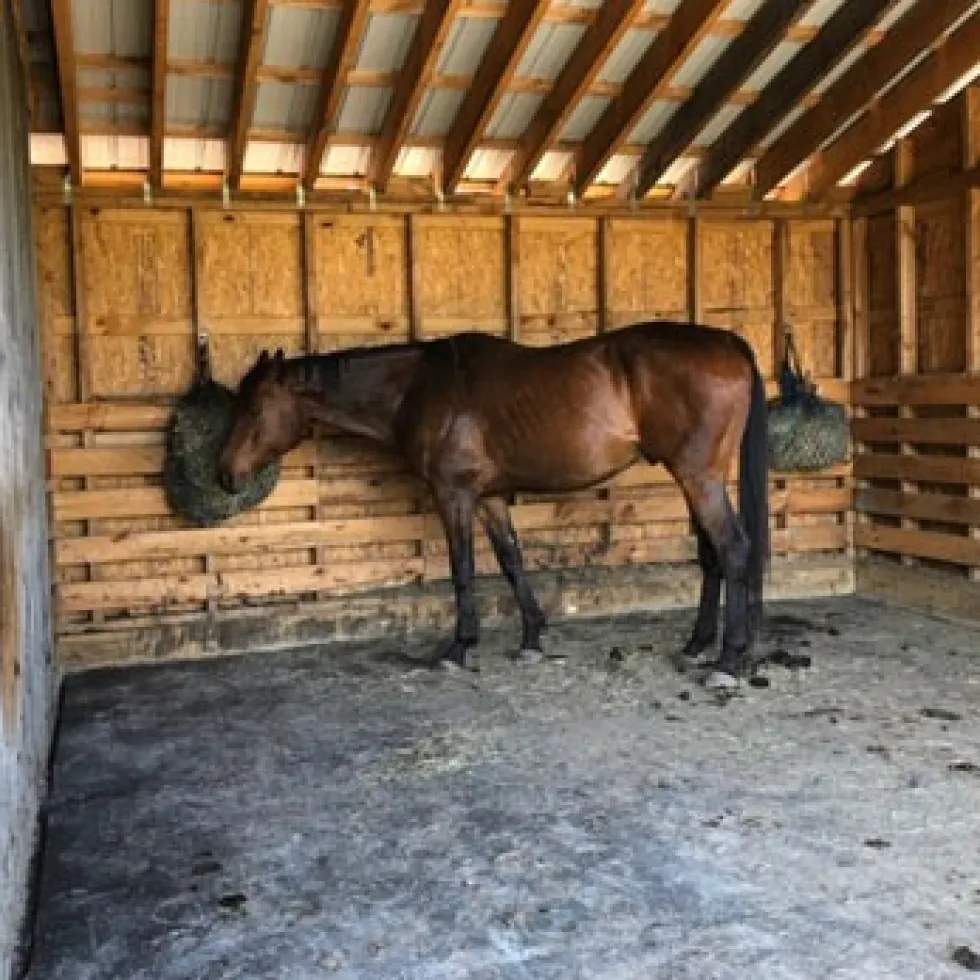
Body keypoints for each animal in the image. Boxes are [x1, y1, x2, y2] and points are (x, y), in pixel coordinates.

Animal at [217, 321, 769, 688]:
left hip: (698, 477)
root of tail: (729, 343)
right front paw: (532, 639)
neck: (419, 387)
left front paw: (459, 646)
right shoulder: (488, 499)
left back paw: (728, 661)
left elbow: (462, 569)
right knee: (712, 555)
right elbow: (511, 561)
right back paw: (698, 646)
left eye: (254, 408)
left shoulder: (454, 495)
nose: (225, 474)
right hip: (701, 478)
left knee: (733, 550)